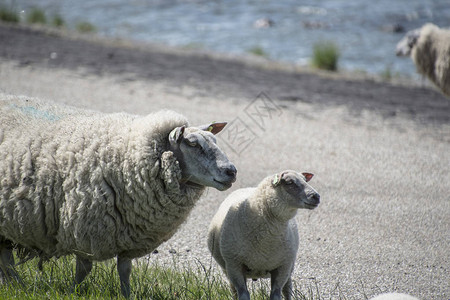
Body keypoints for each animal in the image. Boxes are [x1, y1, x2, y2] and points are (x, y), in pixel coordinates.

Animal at [0, 94, 237, 298]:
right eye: (193, 144)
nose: (231, 171)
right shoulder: (84, 227)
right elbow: (84, 269)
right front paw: (72, 292)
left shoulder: (129, 236)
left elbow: (124, 271)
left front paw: (127, 296)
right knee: (6, 257)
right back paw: (15, 284)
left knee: (5, 256)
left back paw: (13, 284)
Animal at [207, 170, 320, 298]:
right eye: (289, 182)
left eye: (305, 180)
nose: (316, 196)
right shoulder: (234, 265)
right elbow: (243, 294)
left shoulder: (283, 267)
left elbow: (276, 294)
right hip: (228, 270)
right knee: (234, 291)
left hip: (289, 268)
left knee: (287, 290)